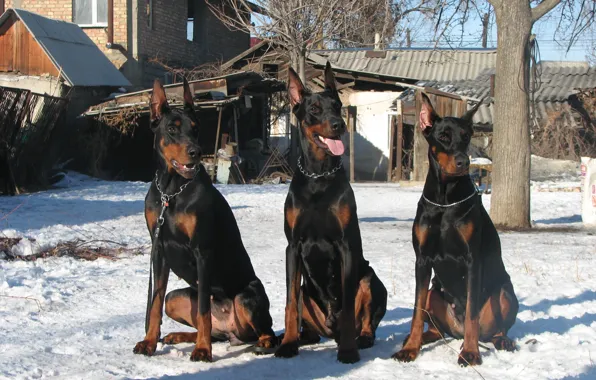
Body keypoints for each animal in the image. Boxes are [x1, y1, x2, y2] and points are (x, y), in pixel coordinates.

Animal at [133, 78, 278, 362]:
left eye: (195, 128)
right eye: (172, 128)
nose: (196, 152)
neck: (172, 190)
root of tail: (232, 333)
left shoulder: (202, 251)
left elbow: (202, 309)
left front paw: (202, 350)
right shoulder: (159, 250)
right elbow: (154, 302)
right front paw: (149, 342)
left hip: (246, 296)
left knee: (265, 330)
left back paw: (261, 344)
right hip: (176, 299)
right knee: (202, 322)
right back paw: (178, 336)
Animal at [274, 63, 386, 366]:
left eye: (337, 106)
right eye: (314, 108)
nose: (338, 125)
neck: (318, 177)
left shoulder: (345, 245)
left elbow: (347, 306)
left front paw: (347, 352)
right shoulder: (293, 246)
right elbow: (289, 302)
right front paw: (287, 345)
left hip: (370, 278)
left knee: (367, 320)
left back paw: (361, 339)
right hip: (308, 293)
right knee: (306, 318)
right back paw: (299, 338)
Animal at [392, 91, 516, 366]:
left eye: (466, 136)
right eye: (444, 137)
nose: (464, 161)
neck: (445, 198)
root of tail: (454, 331)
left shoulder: (472, 260)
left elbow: (471, 313)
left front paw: (470, 352)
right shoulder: (422, 260)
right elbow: (416, 311)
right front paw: (410, 349)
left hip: (505, 292)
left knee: (496, 327)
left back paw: (502, 340)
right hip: (433, 291)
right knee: (435, 327)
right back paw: (418, 339)